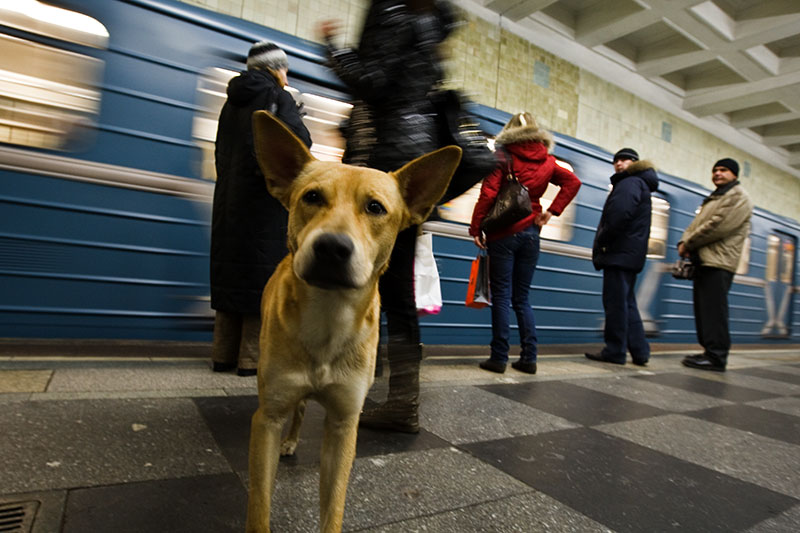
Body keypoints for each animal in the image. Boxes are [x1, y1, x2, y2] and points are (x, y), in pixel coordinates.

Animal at [244, 109, 460, 532]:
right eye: (312, 197)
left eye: (375, 208)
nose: (331, 247)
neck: (328, 319)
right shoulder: (267, 418)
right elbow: (260, 503)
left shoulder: (344, 424)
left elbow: (333, 505)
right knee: (297, 411)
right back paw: (290, 441)